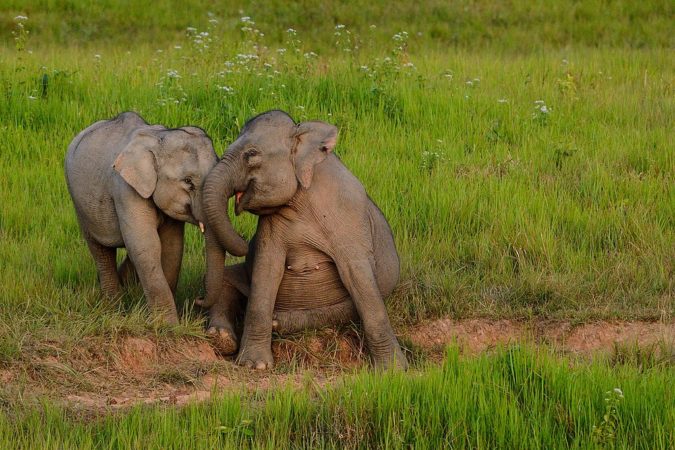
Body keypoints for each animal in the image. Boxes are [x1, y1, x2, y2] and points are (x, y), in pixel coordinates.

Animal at [64, 112, 250, 324]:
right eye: (188, 182)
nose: (198, 298)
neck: (159, 138)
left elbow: (171, 247)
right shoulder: (125, 189)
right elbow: (147, 246)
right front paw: (168, 325)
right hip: (79, 204)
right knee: (101, 250)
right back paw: (114, 306)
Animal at [201, 109, 410, 370]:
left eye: (251, 154)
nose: (243, 241)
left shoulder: (349, 216)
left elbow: (359, 278)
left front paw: (393, 370)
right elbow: (265, 271)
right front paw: (254, 365)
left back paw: (278, 322)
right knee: (226, 280)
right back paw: (222, 337)